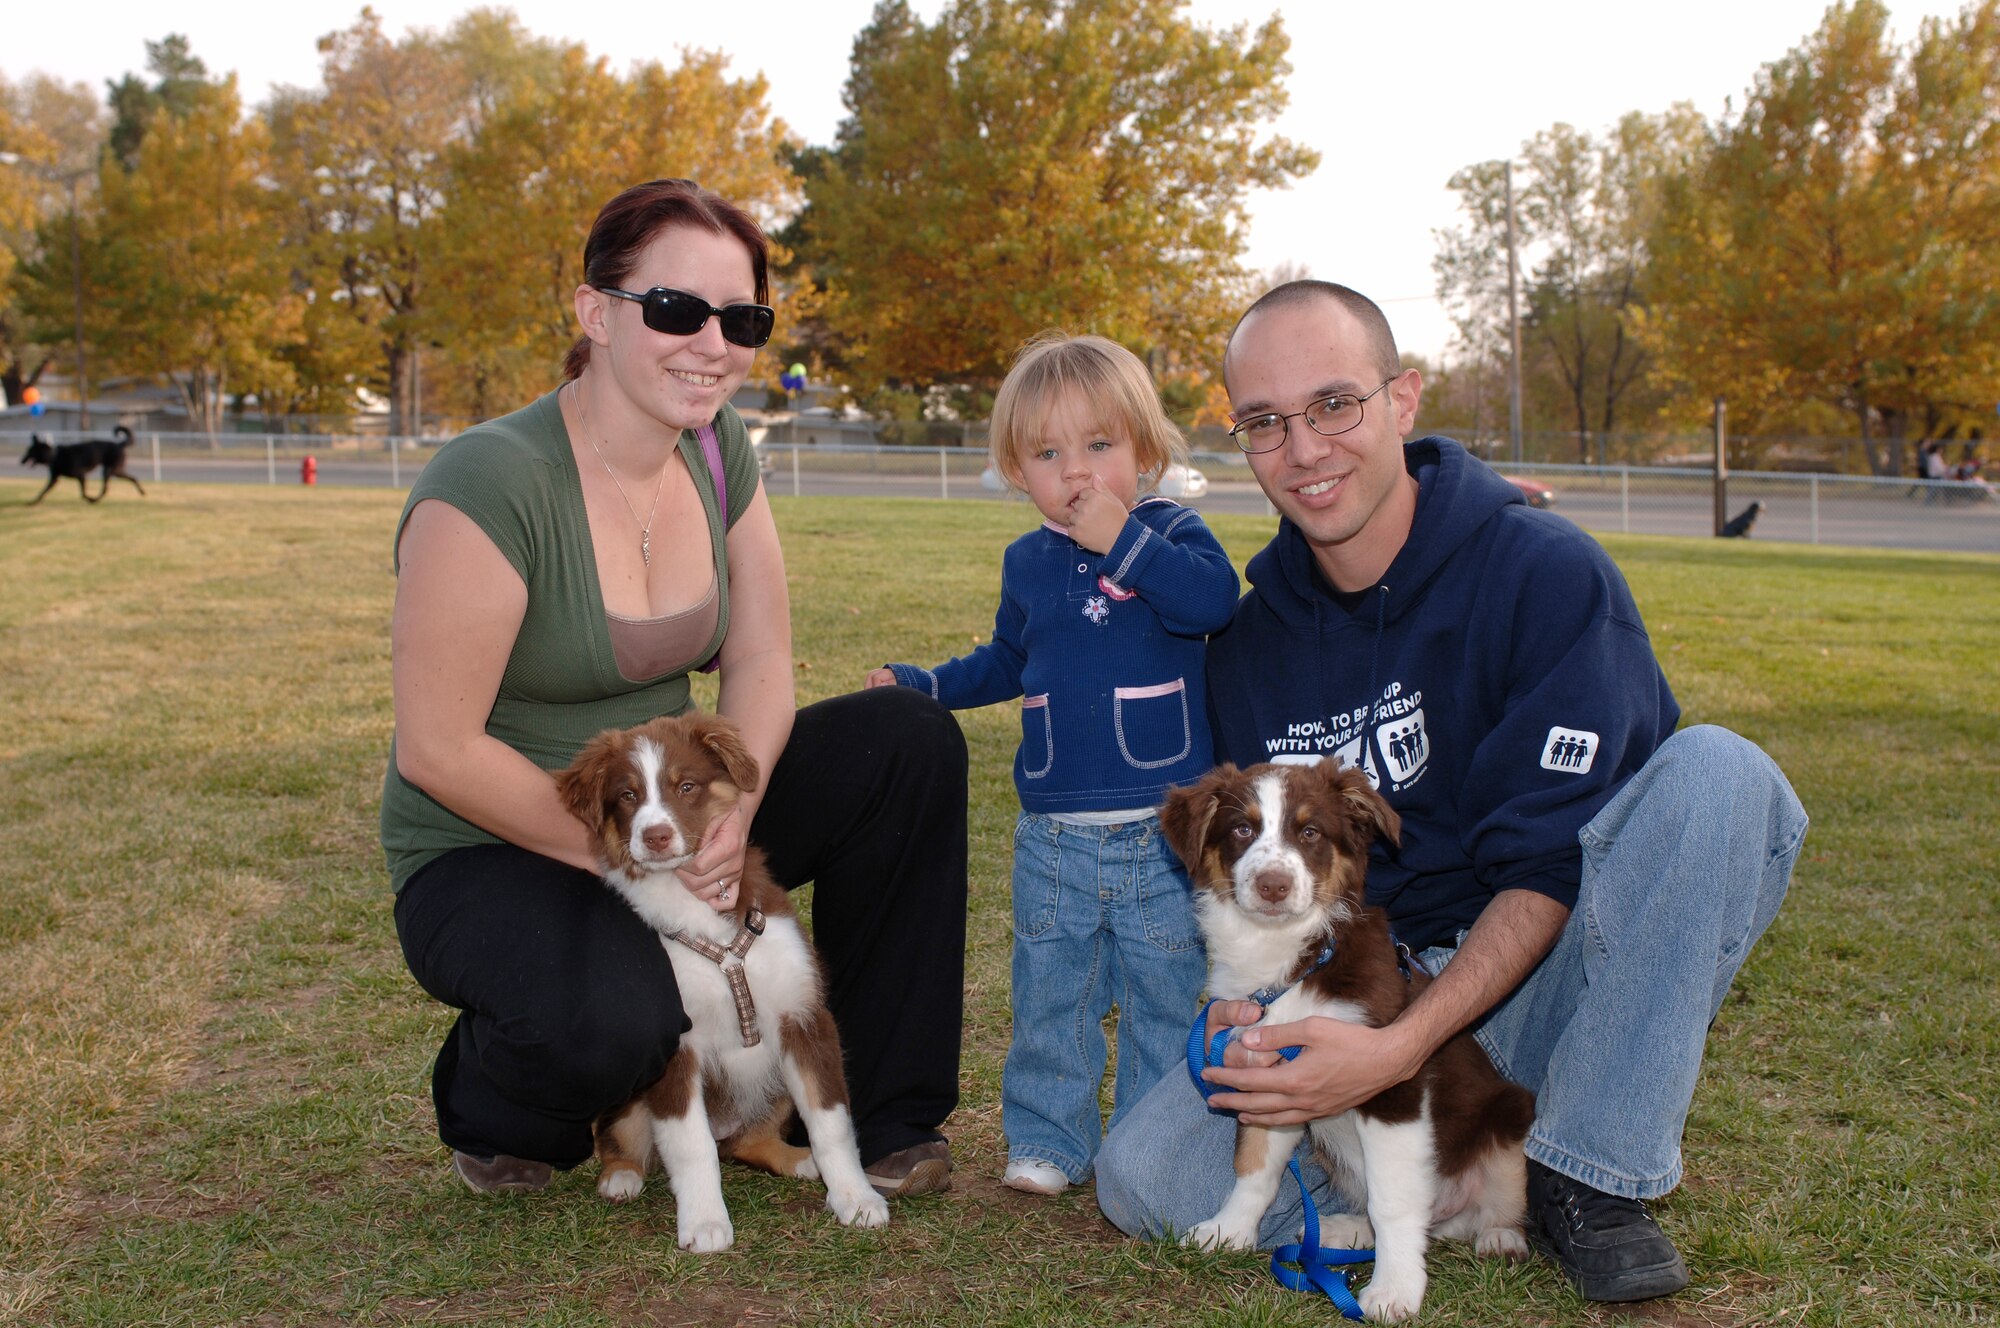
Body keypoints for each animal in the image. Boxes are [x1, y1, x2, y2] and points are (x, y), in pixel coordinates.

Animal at [556, 712, 884, 1248]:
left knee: (746, 1141)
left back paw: (800, 1161)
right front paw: (705, 1223)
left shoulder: (805, 1018)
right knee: (627, 1134)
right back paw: (621, 1175)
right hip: (634, 1091)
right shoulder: (676, 1050)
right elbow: (692, 1145)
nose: (656, 836)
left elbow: (831, 1119)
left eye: (685, 786)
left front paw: (856, 1199)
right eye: (627, 795)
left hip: (774, 1084)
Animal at [1160, 756, 1528, 1320]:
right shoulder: (1267, 1074)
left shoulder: (1389, 1082)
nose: (1272, 886)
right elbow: (1254, 1164)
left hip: (1509, 1114)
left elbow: (1394, 1200)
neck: (1294, 962)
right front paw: (1229, 1230)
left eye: (1310, 832)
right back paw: (1344, 1231)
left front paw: (1395, 1289)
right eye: (1242, 829)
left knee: (1476, 1209)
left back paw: (1501, 1236)